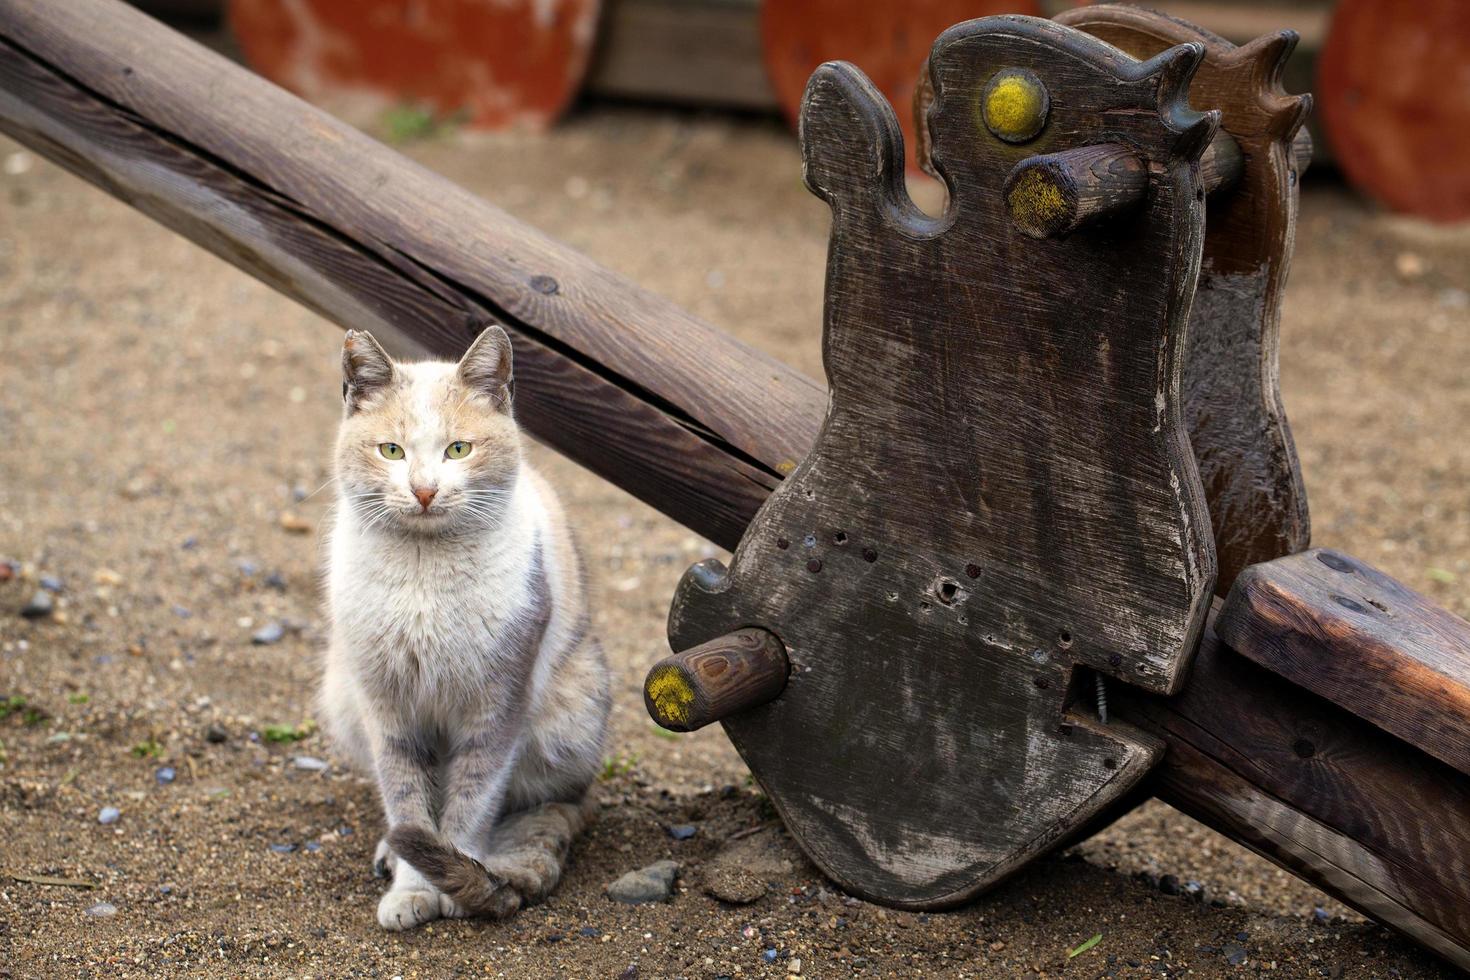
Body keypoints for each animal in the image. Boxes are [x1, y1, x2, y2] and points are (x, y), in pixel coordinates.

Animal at [318, 326, 611, 934]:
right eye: (391, 450)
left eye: (459, 450)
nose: (425, 490)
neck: (424, 572)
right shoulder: (388, 712)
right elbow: (408, 803)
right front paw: (412, 889)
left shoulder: (496, 707)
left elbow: (471, 803)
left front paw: (453, 883)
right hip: (341, 696)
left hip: (574, 714)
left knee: (559, 803)